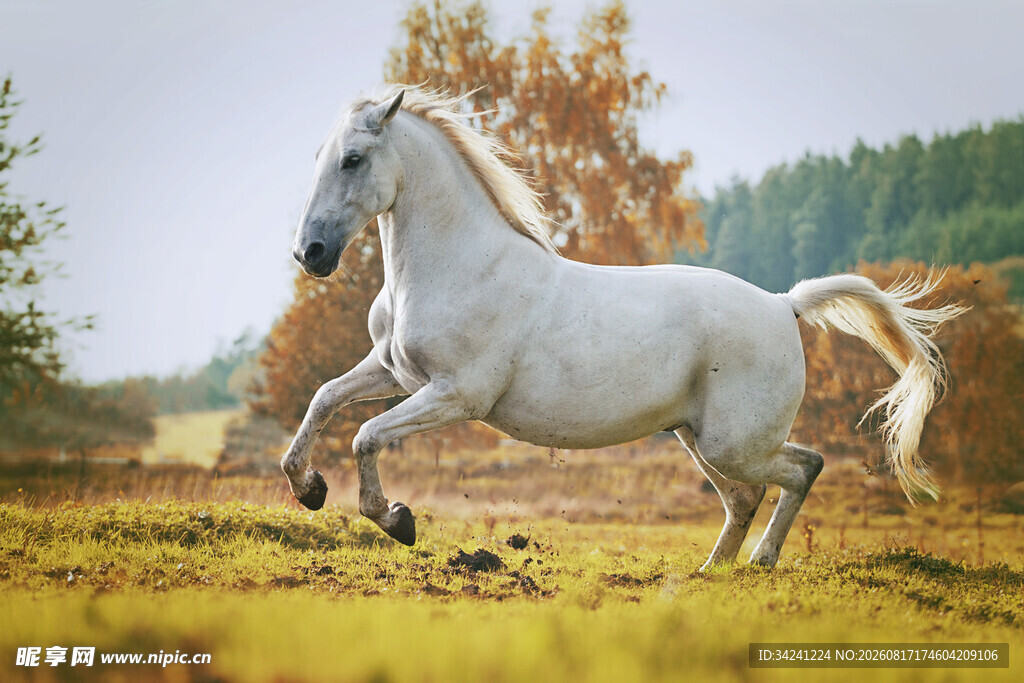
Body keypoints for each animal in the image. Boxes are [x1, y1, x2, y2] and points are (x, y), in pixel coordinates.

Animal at [281, 86, 964, 569]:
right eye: (316, 158)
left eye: (352, 159)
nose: (309, 253)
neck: (459, 265)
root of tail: (782, 304)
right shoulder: (393, 372)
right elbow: (324, 401)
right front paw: (309, 489)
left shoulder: (456, 395)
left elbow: (365, 435)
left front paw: (396, 519)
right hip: (699, 436)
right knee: (746, 497)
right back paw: (708, 575)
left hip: (734, 442)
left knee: (803, 468)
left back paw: (762, 563)